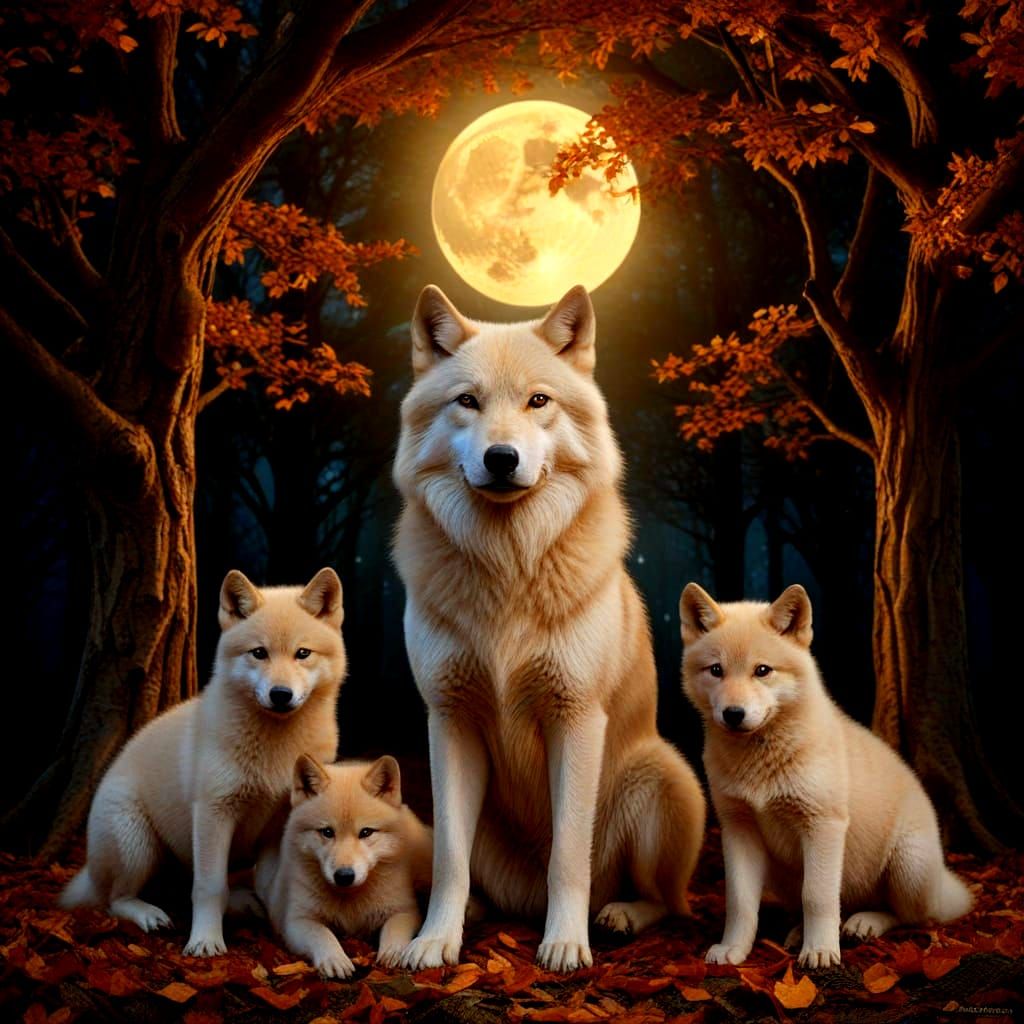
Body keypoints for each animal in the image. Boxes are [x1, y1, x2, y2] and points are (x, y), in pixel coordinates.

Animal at [60, 568, 347, 957]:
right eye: (259, 653)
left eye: (302, 654)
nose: (280, 695)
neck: (276, 747)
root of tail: (89, 869)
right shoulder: (214, 813)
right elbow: (209, 887)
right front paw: (206, 941)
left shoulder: (279, 825)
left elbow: (272, 885)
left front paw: (283, 931)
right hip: (136, 843)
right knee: (116, 899)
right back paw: (149, 914)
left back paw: (242, 902)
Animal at [255, 754, 432, 977]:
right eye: (327, 832)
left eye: (366, 832)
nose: (344, 876)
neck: (350, 901)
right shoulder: (296, 921)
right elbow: (322, 934)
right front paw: (334, 959)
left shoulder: (405, 911)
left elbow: (394, 929)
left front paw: (392, 952)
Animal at [392, 283, 706, 972]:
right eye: (468, 401)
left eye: (539, 401)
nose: (501, 458)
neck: (509, 568)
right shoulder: (447, 720)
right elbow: (449, 859)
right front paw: (433, 941)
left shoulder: (576, 717)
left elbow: (569, 853)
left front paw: (564, 944)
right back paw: (478, 914)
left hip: (663, 780)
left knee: (664, 900)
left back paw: (616, 917)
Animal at [680, 582, 973, 968]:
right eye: (716, 670)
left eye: (762, 670)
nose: (733, 713)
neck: (761, 759)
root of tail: (943, 884)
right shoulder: (738, 829)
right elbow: (741, 902)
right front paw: (734, 949)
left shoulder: (823, 825)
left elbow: (817, 896)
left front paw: (820, 951)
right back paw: (798, 933)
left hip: (909, 866)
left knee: (910, 916)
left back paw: (863, 923)